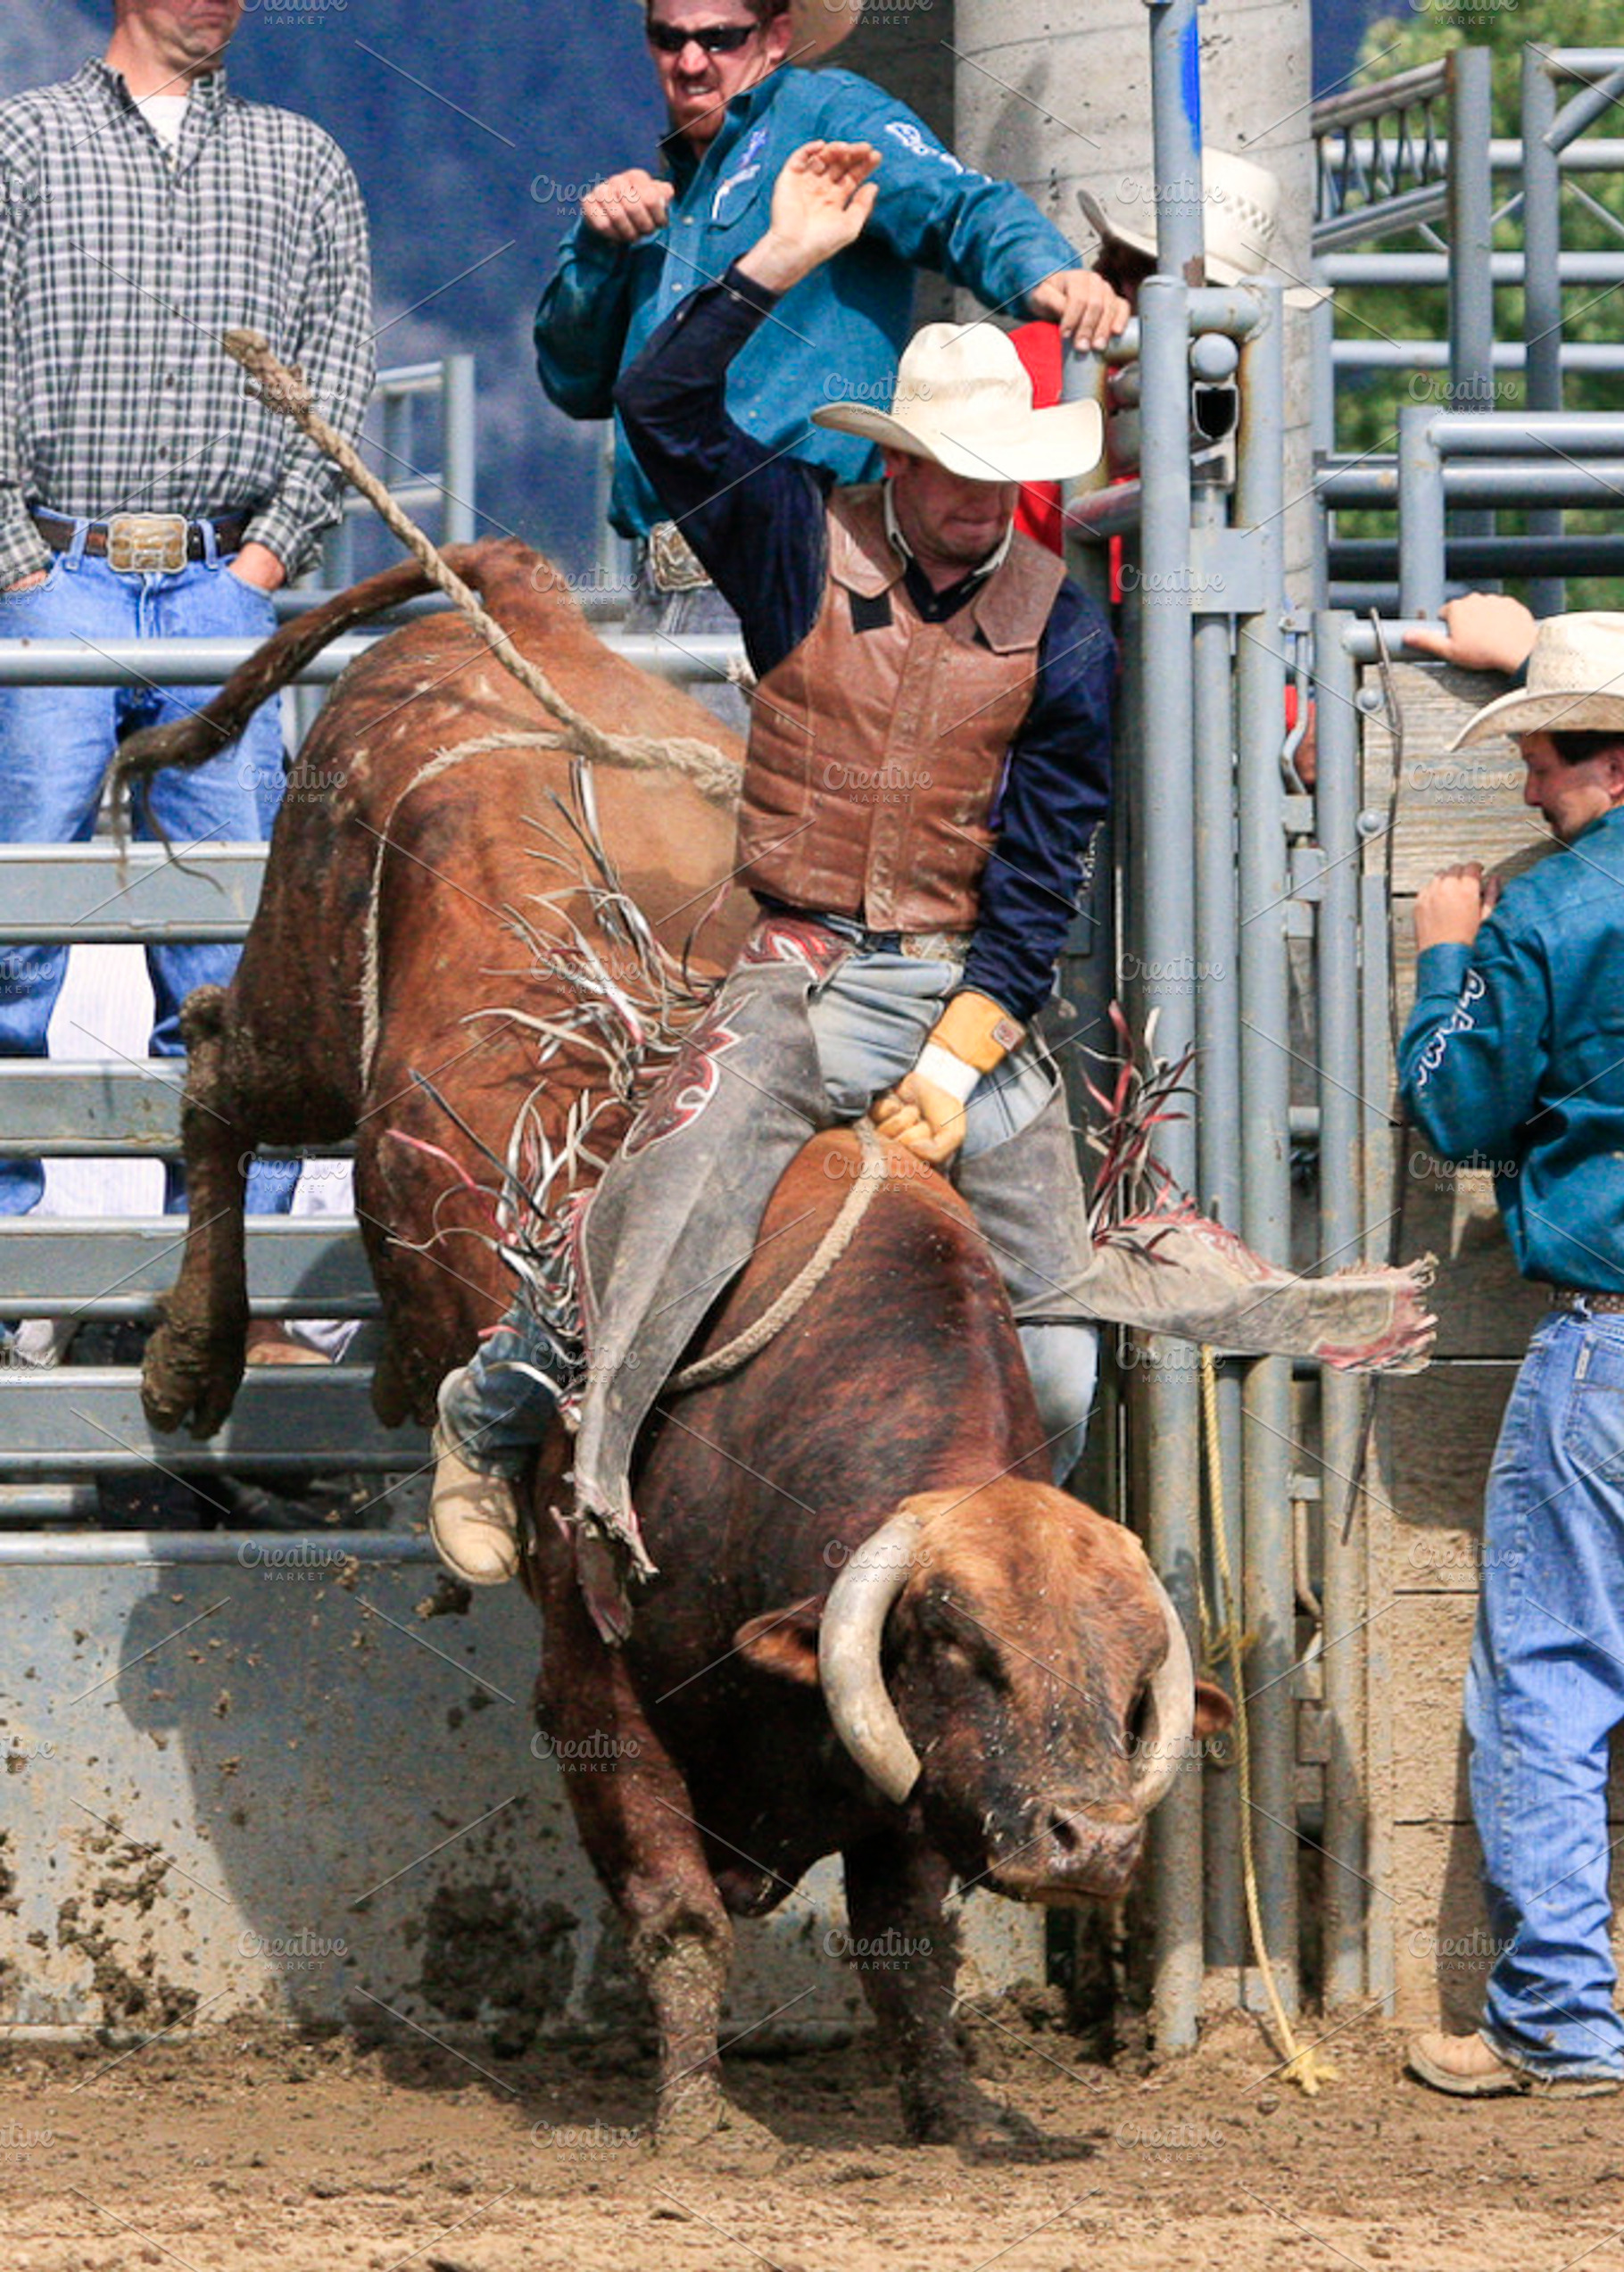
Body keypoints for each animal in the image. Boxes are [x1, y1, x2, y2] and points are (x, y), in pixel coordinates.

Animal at [115, 541, 1224, 2149]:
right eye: (960, 1648)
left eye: (1135, 1667)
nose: (1088, 1839)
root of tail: (512, 607)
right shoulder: (594, 1697)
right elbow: (680, 1913)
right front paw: (699, 2122)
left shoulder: (896, 1794)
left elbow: (910, 1949)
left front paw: (961, 2111)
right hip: (305, 1005)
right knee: (210, 1068)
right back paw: (192, 1360)